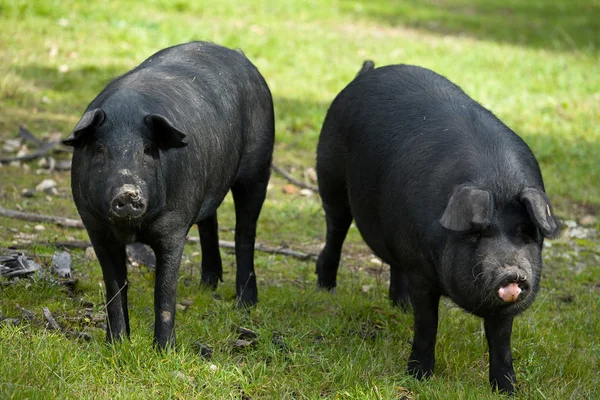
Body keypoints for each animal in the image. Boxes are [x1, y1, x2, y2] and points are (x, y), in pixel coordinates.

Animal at [62, 39, 274, 346]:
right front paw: (116, 344)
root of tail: (240, 56)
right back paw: (207, 286)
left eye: (148, 150)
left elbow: (164, 291)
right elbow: (114, 287)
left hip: (259, 165)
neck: (132, 230)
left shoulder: (174, 224)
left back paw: (245, 304)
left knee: (245, 230)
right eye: (100, 149)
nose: (128, 193)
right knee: (209, 221)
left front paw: (163, 349)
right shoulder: (95, 227)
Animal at [316, 61, 560, 392]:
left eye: (526, 232)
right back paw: (326, 290)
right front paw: (418, 376)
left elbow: (501, 340)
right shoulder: (421, 269)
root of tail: (365, 72)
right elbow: (426, 324)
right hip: (331, 178)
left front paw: (508, 389)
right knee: (336, 230)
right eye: (476, 233)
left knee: (394, 264)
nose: (512, 273)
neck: (497, 182)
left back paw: (400, 307)